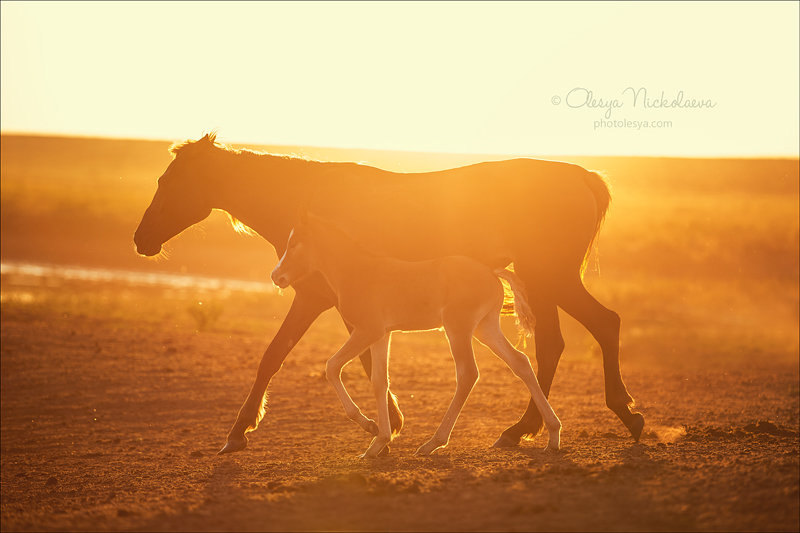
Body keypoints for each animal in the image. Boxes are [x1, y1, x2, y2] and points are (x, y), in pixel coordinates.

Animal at [131, 134, 644, 454]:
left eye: (169, 181)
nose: (141, 240)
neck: (310, 201)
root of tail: (582, 177)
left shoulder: (316, 299)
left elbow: (276, 355)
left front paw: (239, 432)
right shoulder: (354, 309)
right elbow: (361, 363)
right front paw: (387, 425)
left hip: (549, 279)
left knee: (595, 328)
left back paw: (608, 416)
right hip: (541, 285)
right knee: (555, 344)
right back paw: (529, 429)